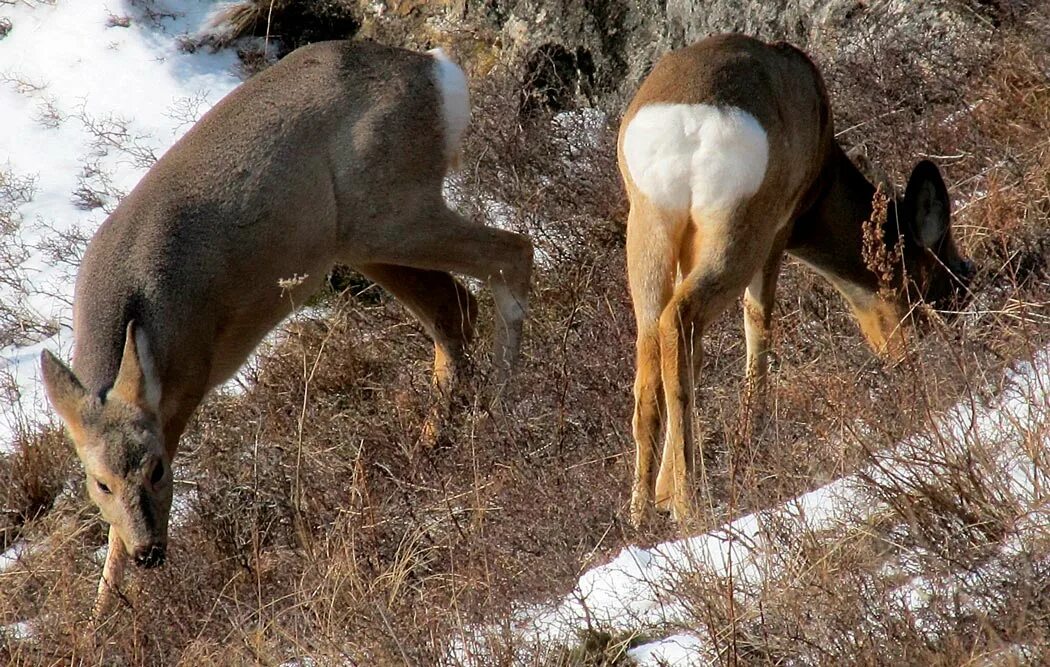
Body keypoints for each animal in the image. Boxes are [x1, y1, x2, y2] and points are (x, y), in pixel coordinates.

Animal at [38, 40, 533, 617]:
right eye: (100, 483)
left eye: (157, 470)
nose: (150, 554)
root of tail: (436, 70)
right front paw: (102, 615)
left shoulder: (187, 381)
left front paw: (108, 612)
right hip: (362, 237)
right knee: (455, 308)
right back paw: (431, 444)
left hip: (395, 211)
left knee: (511, 253)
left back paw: (501, 407)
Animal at [617, 33, 970, 525]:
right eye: (942, 290)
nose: (922, 366)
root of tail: (684, 123)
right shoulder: (779, 231)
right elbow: (759, 323)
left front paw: (665, 493)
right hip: (739, 235)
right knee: (683, 321)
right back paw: (690, 504)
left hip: (648, 238)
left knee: (652, 355)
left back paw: (642, 512)